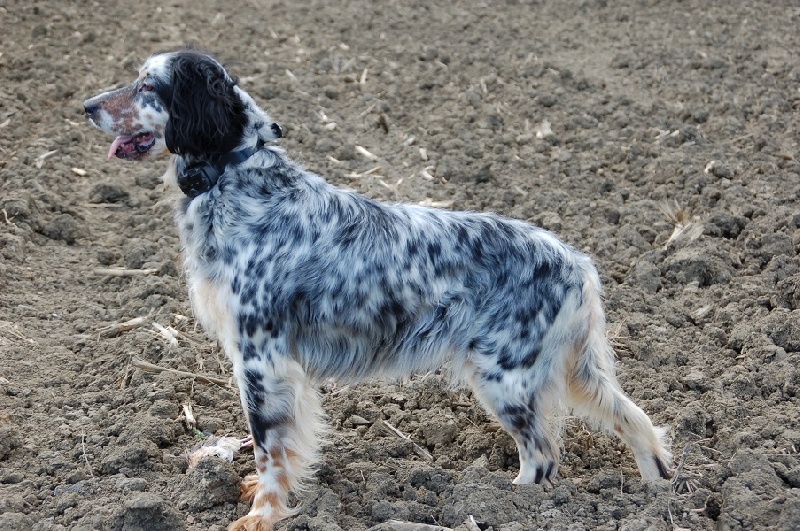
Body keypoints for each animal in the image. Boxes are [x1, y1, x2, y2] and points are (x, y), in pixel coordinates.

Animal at [84, 50, 672, 531]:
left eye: (148, 85)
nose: (87, 104)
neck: (238, 178)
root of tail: (578, 264)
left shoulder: (260, 359)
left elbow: (268, 449)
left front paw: (262, 515)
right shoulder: (280, 367)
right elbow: (285, 449)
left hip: (504, 378)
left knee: (544, 458)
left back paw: (504, 503)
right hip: (563, 371)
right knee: (634, 419)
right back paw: (657, 485)